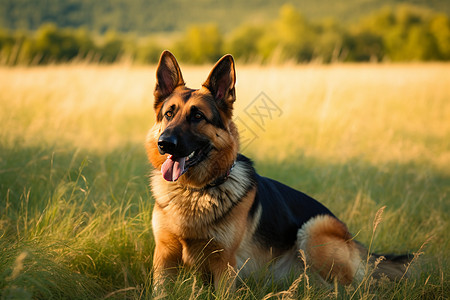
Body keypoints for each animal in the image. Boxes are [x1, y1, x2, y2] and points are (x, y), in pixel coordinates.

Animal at [147, 51, 412, 290]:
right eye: (169, 114)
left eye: (198, 116)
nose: (165, 143)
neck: (193, 191)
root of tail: (356, 244)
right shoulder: (164, 258)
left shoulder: (225, 264)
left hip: (314, 229)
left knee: (351, 288)